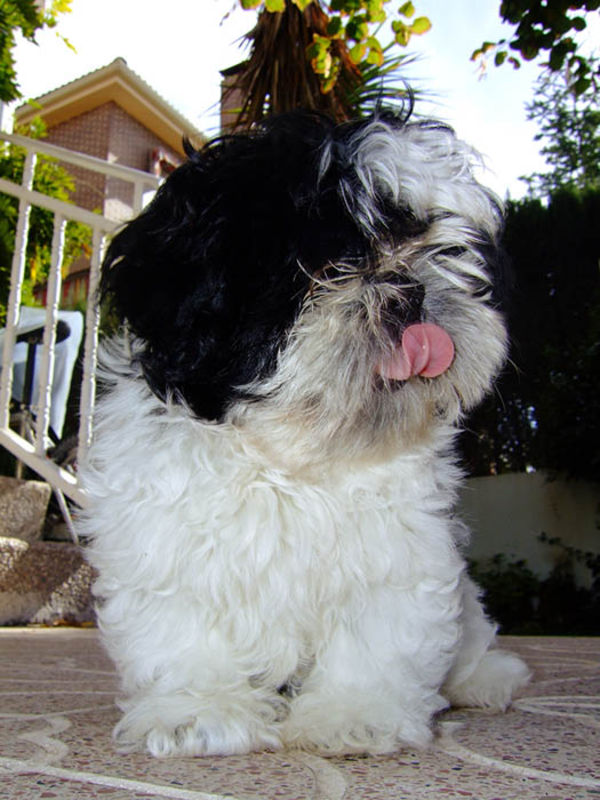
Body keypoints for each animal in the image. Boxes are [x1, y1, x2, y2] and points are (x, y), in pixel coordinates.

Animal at [79, 108, 530, 758]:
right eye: (320, 267)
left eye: (433, 248)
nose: (409, 288)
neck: (289, 460)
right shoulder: (162, 543)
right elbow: (184, 631)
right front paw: (198, 713)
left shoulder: (399, 554)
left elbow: (375, 637)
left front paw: (353, 716)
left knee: (471, 628)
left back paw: (487, 677)